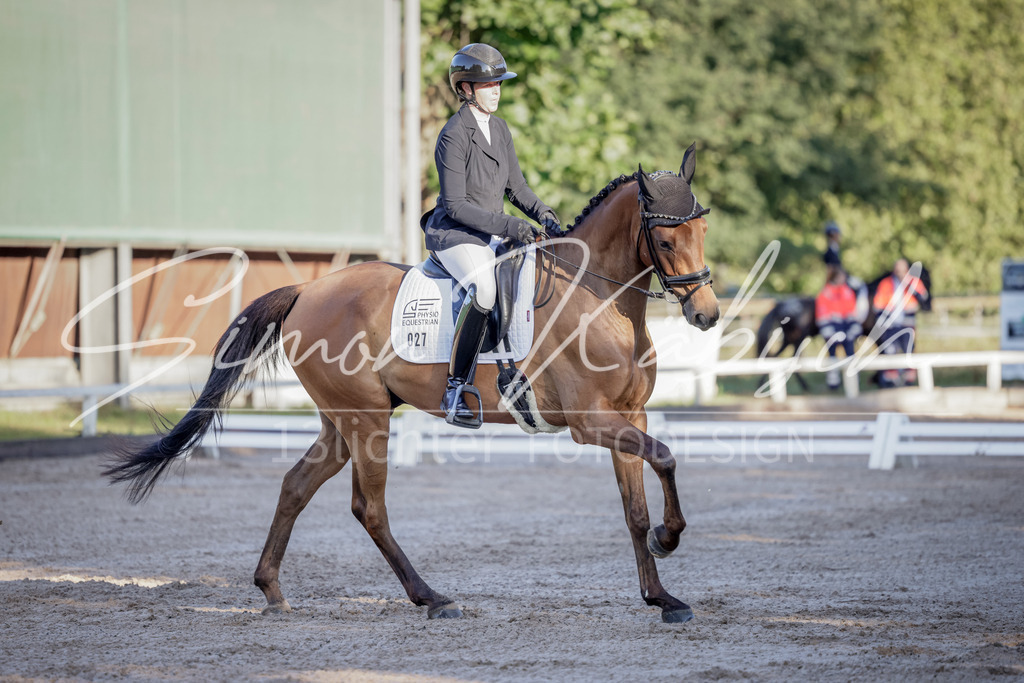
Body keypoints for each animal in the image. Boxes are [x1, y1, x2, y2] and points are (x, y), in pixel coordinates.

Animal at [104, 144, 721, 624]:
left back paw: (273, 591)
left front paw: (662, 597)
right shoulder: (589, 422)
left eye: (703, 231)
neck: (598, 298)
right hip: (367, 420)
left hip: (342, 421)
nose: (707, 315)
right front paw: (670, 538)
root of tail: (307, 290)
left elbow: (635, 507)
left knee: (296, 485)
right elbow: (666, 457)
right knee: (369, 508)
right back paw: (433, 598)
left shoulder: (629, 416)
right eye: (667, 242)